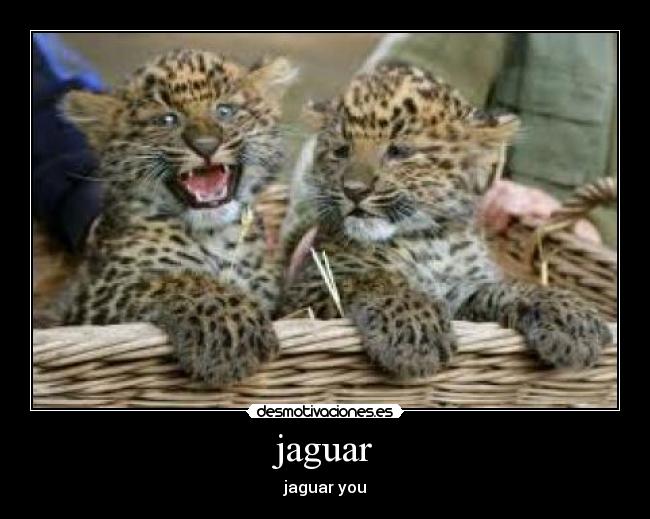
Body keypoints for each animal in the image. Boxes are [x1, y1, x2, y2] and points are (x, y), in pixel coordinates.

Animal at [56, 49, 298, 386]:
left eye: (224, 110)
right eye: (167, 119)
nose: (206, 146)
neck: (216, 237)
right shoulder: (93, 297)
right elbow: (176, 279)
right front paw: (229, 327)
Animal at [281, 61, 612, 379]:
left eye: (399, 151)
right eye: (341, 151)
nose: (354, 190)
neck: (430, 240)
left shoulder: (464, 295)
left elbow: (505, 290)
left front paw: (569, 314)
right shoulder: (305, 293)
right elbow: (372, 278)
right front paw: (414, 326)